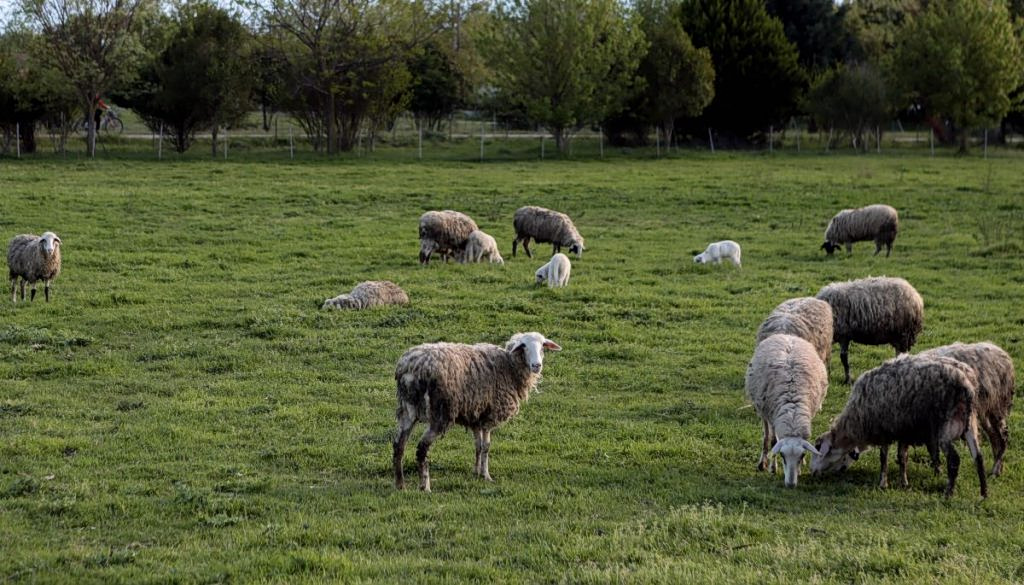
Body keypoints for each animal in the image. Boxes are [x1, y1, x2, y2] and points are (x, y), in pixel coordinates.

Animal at [392, 332, 562, 491]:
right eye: (524, 346)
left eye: (542, 346)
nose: (536, 365)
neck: (509, 366)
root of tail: (410, 369)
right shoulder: (490, 416)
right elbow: (486, 446)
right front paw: (486, 475)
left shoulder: (475, 415)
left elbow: (478, 445)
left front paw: (476, 472)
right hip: (440, 413)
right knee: (422, 448)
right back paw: (425, 486)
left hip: (408, 409)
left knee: (398, 444)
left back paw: (400, 484)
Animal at [746, 334, 829, 488]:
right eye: (782, 456)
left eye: (802, 455)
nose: (791, 485)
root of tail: (786, 335)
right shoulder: (773, 418)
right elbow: (773, 442)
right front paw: (773, 468)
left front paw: (800, 468)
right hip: (763, 410)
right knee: (766, 436)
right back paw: (762, 463)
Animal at [810, 354, 987, 498]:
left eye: (818, 449)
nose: (812, 472)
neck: (856, 422)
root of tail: (966, 383)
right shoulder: (903, 429)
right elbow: (902, 458)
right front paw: (904, 483)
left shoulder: (884, 429)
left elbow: (884, 458)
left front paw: (883, 483)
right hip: (970, 423)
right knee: (978, 457)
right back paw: (983, 494)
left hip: (946, 426)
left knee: (954, 459)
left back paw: (949, 493)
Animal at [918, 342, 1015, 477]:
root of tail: (1003, 354)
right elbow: (932, 447)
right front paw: (937, 471)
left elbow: (932, 447)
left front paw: (938, 471)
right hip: (985, 409)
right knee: (994, 436)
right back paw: (997, 469)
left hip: (997, 405)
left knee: (1003, 437)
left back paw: (995, 470)